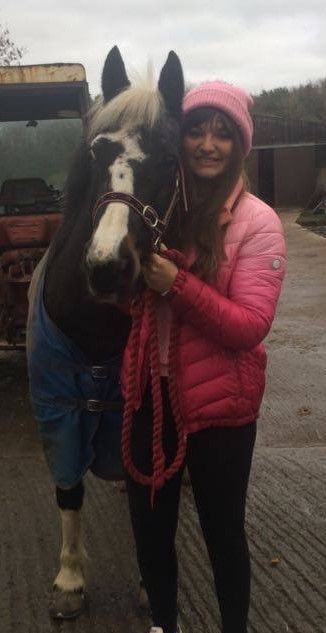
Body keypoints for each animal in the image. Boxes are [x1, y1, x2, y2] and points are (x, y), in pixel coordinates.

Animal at [26, 47, 185, 620]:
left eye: (169, 158)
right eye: (97, 153)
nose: (107, 267)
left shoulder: (144, 406)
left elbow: (152, 498)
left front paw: (152, 582)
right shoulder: (56, 406)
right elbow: (68, 488)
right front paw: (71, 580)